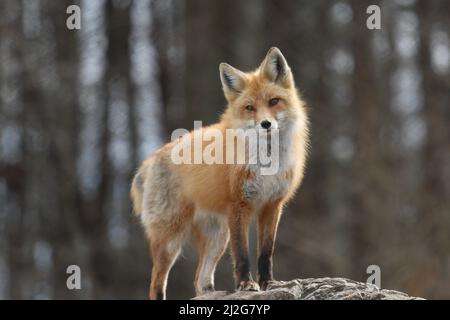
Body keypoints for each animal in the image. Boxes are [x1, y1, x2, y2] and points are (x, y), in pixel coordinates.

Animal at [130, 47, 310, 300]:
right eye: (250, 108)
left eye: (274, 101)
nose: (265, 124)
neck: (266, 163)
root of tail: (150, 160)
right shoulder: (238, 206)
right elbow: (242, 254)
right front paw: (246, 284)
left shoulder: (272, 205)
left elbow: (266, 252)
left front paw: (268, 283)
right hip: (171, 239)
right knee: (156, 284)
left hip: (218, 238)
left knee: (199, 280)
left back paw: (210, 292)